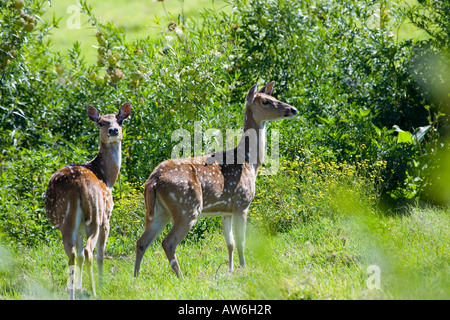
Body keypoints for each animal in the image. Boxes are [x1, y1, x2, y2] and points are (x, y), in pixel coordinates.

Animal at [45, 102, 131, 300]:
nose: (114, 130)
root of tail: (79, 185)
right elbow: (101, 253)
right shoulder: (107, 217)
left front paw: (78, 286)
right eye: (101, 122)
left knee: (74, 253)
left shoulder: (79, 229)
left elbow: (80, 256)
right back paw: (94, 291)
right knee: (89, 251)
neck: (107, 177)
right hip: (94, 216)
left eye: (120, 120)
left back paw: (72, 292)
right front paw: (101, 283)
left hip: (69, 221)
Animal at [134, 82, 298, 278]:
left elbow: (230, 243)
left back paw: (136, 277)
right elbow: (241, 241)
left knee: (142, 241)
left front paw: (230, 270)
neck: (249, 163)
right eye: (266, 101)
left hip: (158, 211)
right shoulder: (242, 203)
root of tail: (153, 180)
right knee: (168, 242)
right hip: (187, 207)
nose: (293, 109)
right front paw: (244, 269)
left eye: (274, 97)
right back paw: (181, 277)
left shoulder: (225, 210)